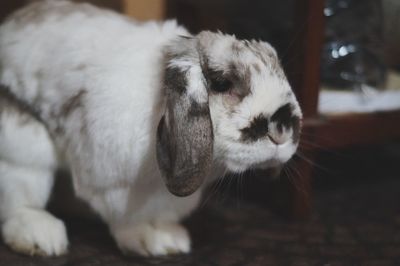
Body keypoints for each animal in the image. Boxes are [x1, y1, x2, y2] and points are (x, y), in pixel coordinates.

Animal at [0, 0, 300, 258]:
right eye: (222, 83)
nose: (281, 128)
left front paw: (171, 241)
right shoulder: (114, 184)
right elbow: (128, 219)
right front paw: (150, 241)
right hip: (25, 151)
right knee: (20, 201)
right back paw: (43, 238)